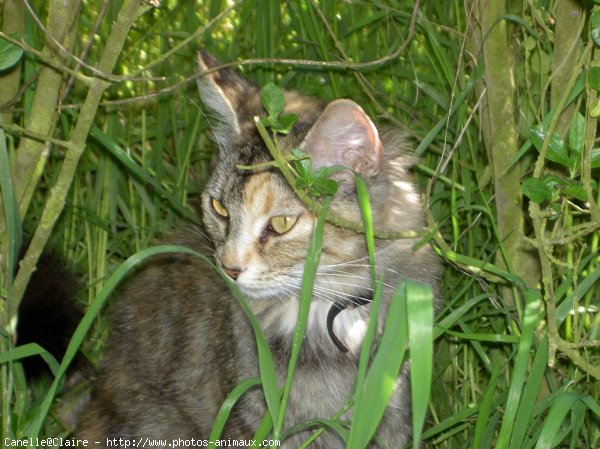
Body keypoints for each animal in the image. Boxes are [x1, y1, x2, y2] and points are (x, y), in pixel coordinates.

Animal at [76, 50, 440, 446]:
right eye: (219, 208)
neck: (328, 319)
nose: (229, 267)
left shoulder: (392, 417)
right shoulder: (252, 420)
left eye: (281, 224)